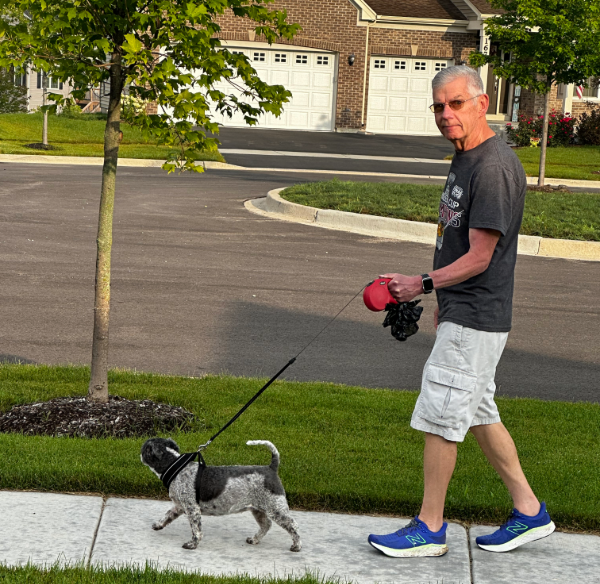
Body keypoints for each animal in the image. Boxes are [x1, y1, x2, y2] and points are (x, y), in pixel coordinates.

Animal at [139, 438, 300, 552]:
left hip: (275, 507)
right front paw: (158, 525)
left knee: (292, 524)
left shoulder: (192, 508)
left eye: (146, 448)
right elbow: (167, 515)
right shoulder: (180, 506)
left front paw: (192, 544)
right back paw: (254, 540)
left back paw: (296, 546)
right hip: (258, 510)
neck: (176, 468)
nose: (139, 453)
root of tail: (272, 468)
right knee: (266, 524)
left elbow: (196, 529)